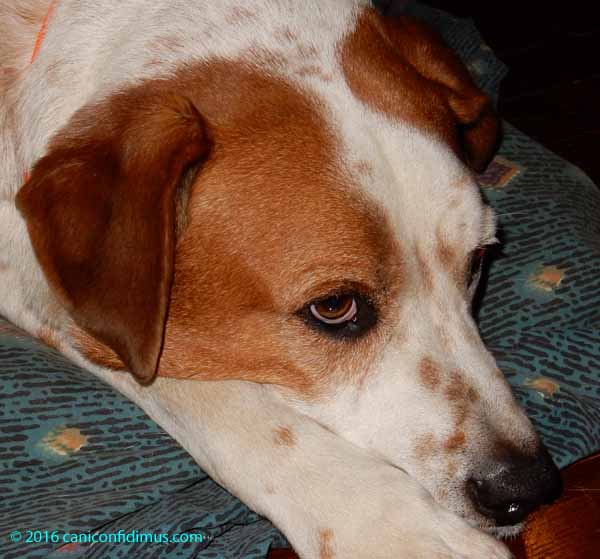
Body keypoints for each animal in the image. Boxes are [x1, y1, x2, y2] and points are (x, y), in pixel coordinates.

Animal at [0, 1, 562, 557]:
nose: (525, 489)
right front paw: (393, 527)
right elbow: (225, 401)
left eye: (478, 261)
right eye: (334, 307)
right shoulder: (46, 295)